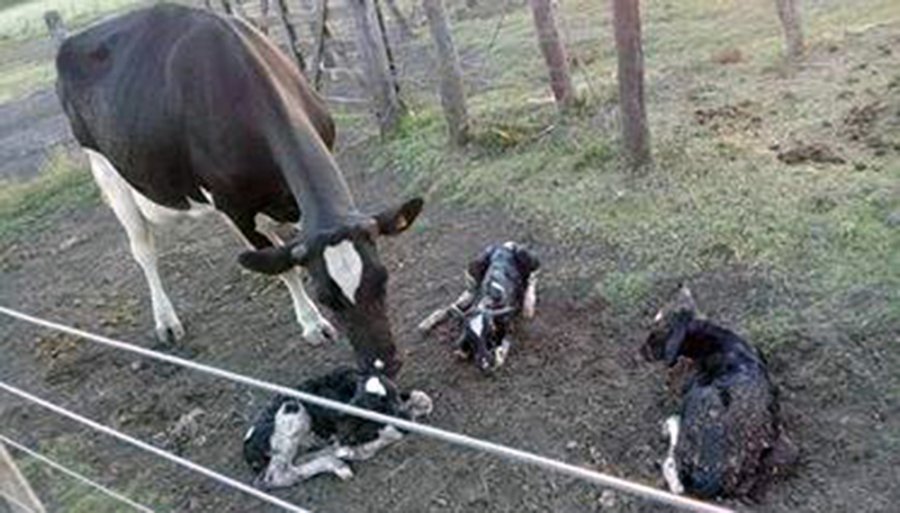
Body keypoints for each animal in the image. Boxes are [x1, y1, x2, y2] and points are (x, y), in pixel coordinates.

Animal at [55, 3, 422, 375]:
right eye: (325, 297)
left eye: (382, 279)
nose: (383, 364)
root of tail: (72, 39)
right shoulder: (235, 206)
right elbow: (284, 266)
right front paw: (312, 324)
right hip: (105, 169)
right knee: (143, 251)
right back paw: (166, 321)